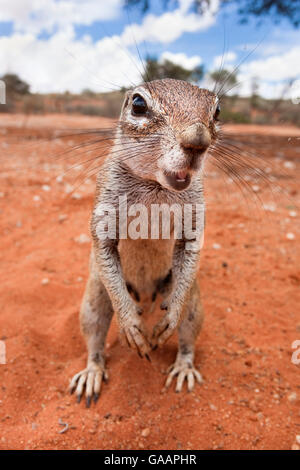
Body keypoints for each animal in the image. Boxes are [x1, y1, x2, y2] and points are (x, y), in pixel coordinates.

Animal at [69, 79, 220, 406]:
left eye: (217, 111)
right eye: (138, 105)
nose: (197, 141)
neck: (156, 186)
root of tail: (146, 298)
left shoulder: (194, 212)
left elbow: (191, 245)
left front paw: (170, 318)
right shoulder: (106, 199)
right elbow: (103, 244)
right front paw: (129, 324)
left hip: (193, 301)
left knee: (188, 334)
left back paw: (183, 366)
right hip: (95, 297)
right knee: (94, 334)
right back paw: (93, 371)